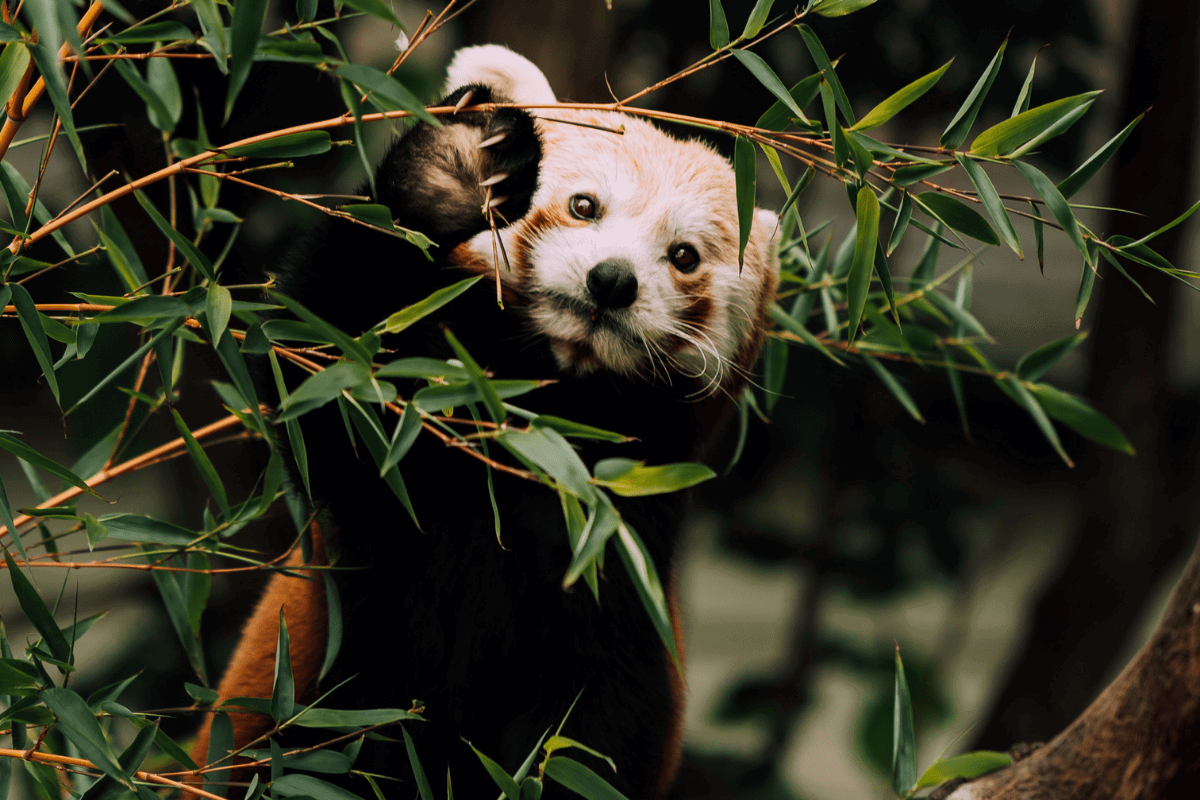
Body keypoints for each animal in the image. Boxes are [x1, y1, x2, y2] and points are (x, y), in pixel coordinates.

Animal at [191, 45, 780, 800]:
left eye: (684, 256)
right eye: (584, 207)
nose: (612, 280)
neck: (545, 424)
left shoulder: (616, 577)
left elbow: (590, 743)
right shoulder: (385, 486)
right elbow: (315, 360)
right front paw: (460, 165)